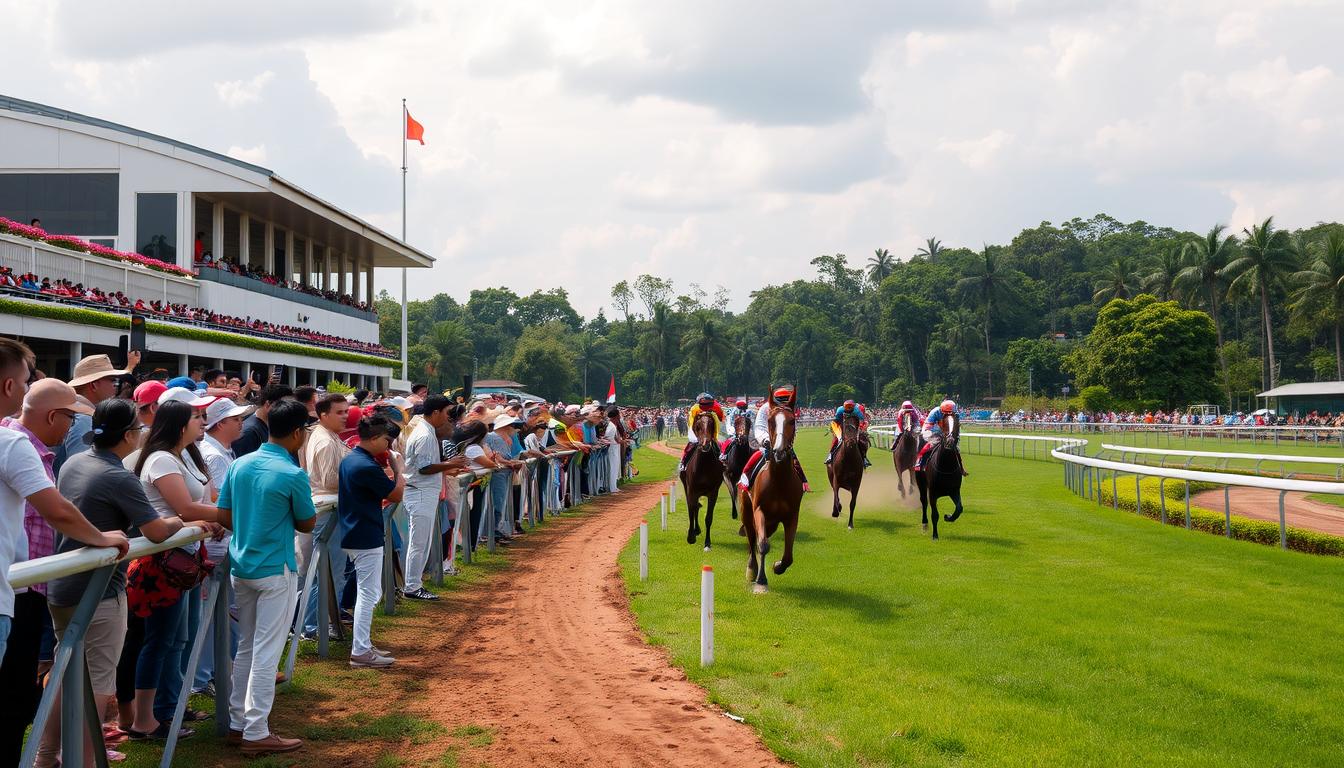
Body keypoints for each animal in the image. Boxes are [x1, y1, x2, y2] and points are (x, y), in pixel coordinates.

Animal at [682, 414, 725, 554]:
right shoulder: (692, 490)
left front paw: (707, 544)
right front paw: (690, 537)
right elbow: (691, 510)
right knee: (693, 507)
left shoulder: (713, 493)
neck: (704, 466)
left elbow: (708, 518)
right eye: (698, 426)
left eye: (711, 425)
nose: (705, 445)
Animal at [741, 403, 801, 594]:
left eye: (792, 421)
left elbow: (788, 556)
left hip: (772, 523)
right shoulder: (759, 510)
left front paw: (777, 566)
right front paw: (761, 580)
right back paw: (751, 569)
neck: (779, 480)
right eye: (770, 421)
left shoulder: (792, 515)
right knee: (752, 538)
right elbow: (763, 544)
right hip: (747, 511)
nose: (779, 451)